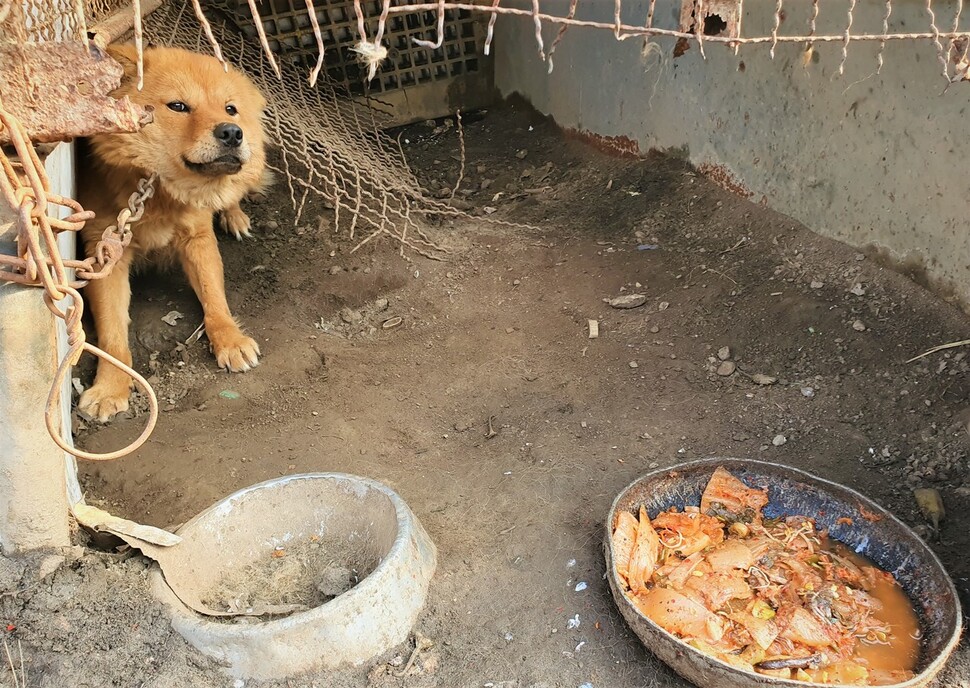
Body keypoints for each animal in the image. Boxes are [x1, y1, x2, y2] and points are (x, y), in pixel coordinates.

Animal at [78, 45, 268, 422]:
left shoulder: (198, 238)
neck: (161, 196)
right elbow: (112, 335)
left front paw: (230, 340)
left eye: (230, 109)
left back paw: (235, 215)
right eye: (178, 106)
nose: (232, 132)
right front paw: (111, 387)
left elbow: (214, 296)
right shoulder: (105, 255)